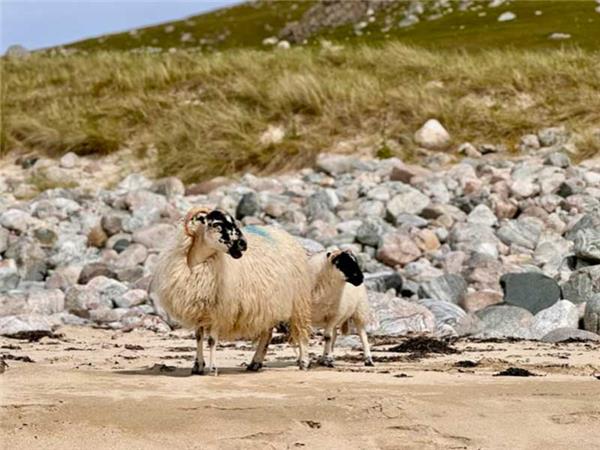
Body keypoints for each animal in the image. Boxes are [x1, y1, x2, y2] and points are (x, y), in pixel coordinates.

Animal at [152, 206, 312, 374]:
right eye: (216, 224)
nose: (243, 244)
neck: (200, 264)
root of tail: (284, 234)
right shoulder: (200, 309)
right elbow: (198, 337)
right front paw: (198, 366)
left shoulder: (219, 310)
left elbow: (212, 340)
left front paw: (213, 369)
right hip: (268, 303)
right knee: (267, 334)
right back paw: (255, 363)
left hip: (298, 300)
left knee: (301, 331)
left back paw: (303, 362)